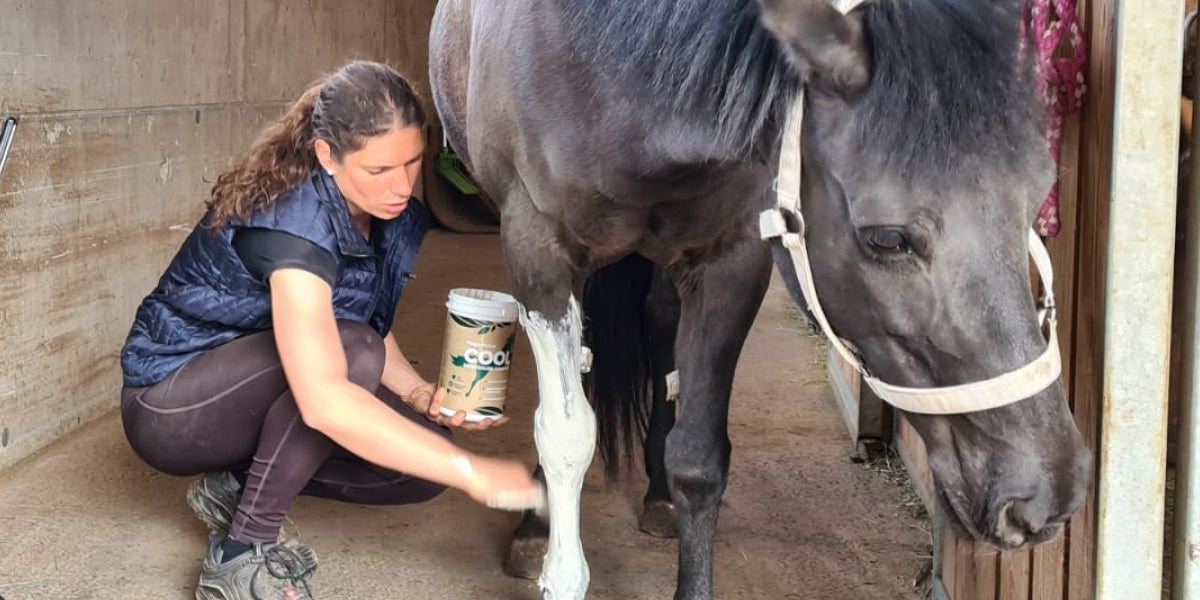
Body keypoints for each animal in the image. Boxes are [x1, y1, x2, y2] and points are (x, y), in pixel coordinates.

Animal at [429, 0, 1089, 597]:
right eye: (886, 238)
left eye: (1036, 198)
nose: (1048, 494)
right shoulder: (539, 258)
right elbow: (566, 434)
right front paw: (553, 556)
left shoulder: (732, 261)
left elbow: (699, 459)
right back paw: (533, 530)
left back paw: (657, 499)